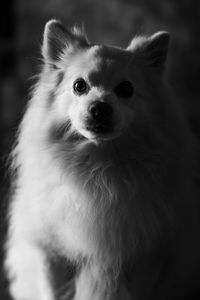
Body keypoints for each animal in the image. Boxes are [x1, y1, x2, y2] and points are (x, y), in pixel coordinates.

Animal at [3, 19, 200, 300]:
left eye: (126, 89)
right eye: (79, 86)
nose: (100, 107)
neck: (98, 167)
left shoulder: (146, 259)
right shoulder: (52, 254)